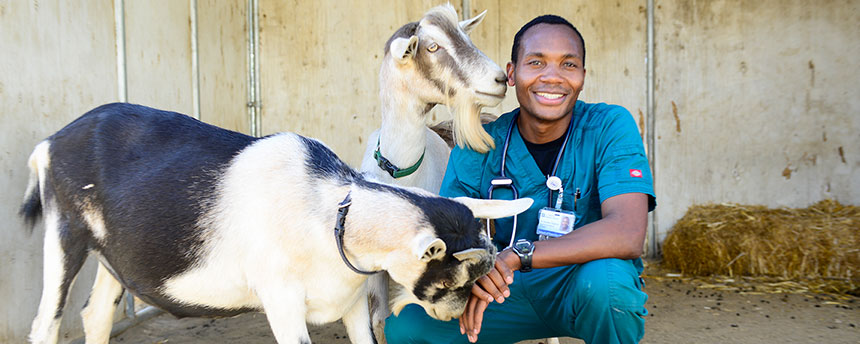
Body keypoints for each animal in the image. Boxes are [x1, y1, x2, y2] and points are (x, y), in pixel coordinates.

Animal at [20, 103, 532, 344]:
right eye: (451, 279)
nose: (454, 316)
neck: (332, 217)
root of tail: (49, 144)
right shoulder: (281, 301)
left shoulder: (350, 304)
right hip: (65, 233)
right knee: (47, 321)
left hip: (113, 255)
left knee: (96, 315)